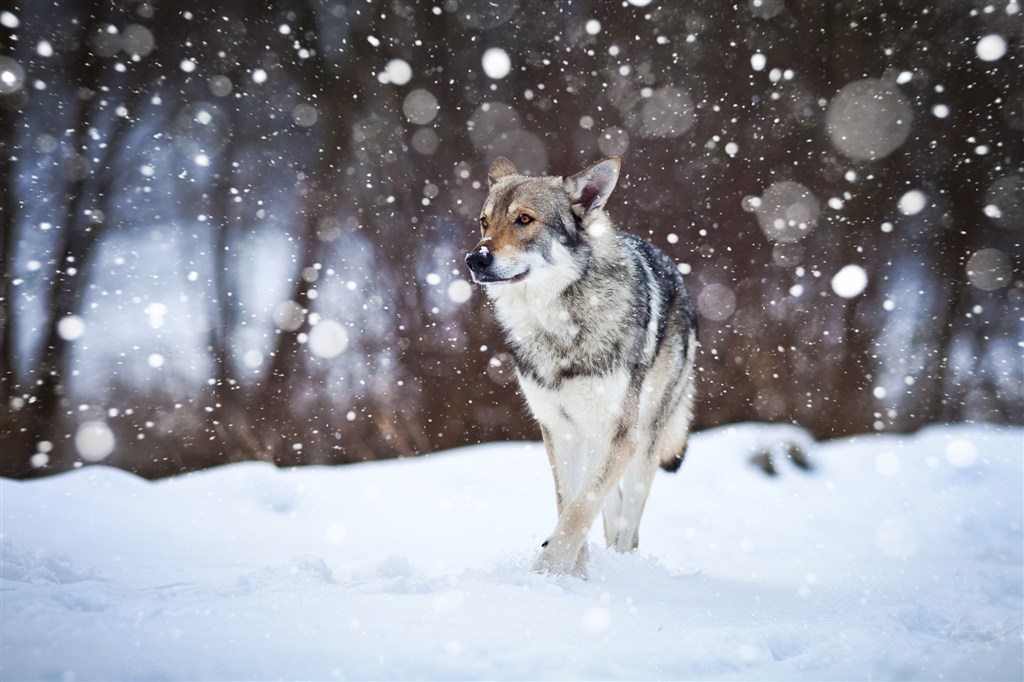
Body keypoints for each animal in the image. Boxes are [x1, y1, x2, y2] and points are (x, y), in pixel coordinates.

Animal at [466, 155, 700, 573]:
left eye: (524, 219)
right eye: (484, 222)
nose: (474, 259)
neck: (558, 325)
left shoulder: (621, 438)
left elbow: (578, 511)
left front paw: (548, 573)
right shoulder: (559, 430)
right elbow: (569, 503)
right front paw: (573, 574)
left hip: (642, 442)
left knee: (629, 527)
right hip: (593, 436)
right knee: (610, 508)